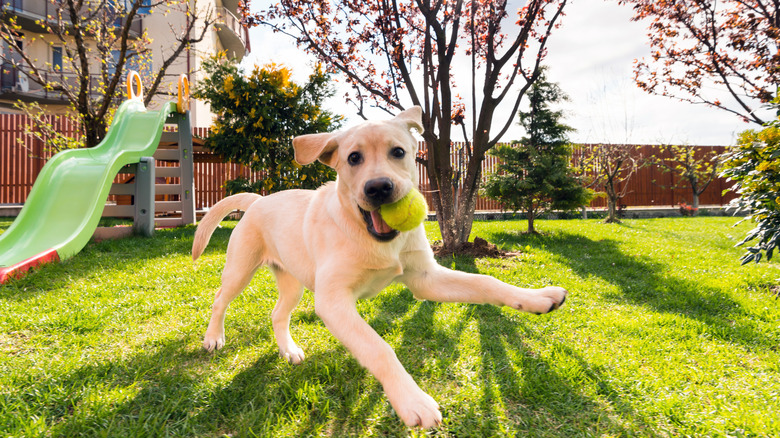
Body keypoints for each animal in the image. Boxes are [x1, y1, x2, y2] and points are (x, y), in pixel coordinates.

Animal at [190, 106, 568, 428]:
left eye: (398, 152)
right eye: (353, 158)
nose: (379, 188)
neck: (373, 238)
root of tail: (258, 200)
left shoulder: (425, 279)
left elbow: (487, 282)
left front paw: (537, 298)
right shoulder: (333, 301)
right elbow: (379, 348)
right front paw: (412, 400)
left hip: (293, 281)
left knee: (277, 314)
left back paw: (289, 351)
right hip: (240, 269)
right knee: (220, 301)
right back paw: (214, 338)